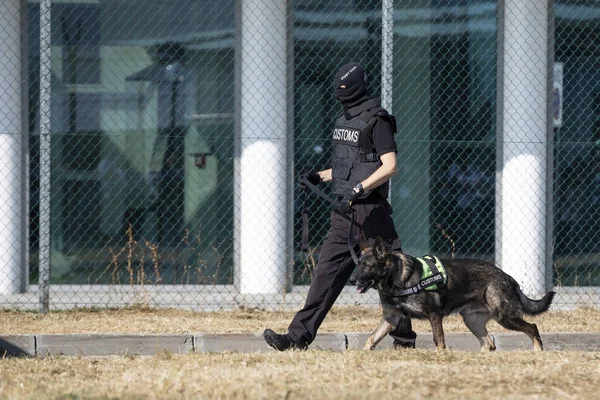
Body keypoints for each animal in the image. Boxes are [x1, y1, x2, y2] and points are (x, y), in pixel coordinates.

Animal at [354, 238, 556, 350]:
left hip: (504, 317)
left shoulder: (434, 315)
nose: (352, 279)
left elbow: (439, 341)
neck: (397, 277)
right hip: (472, 321)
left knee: (533, 328)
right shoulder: (392, 317)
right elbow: (371, 339)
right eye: (358, 264)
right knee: (488, 343)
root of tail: (508, 277)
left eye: (367, 266)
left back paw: (537, 352)